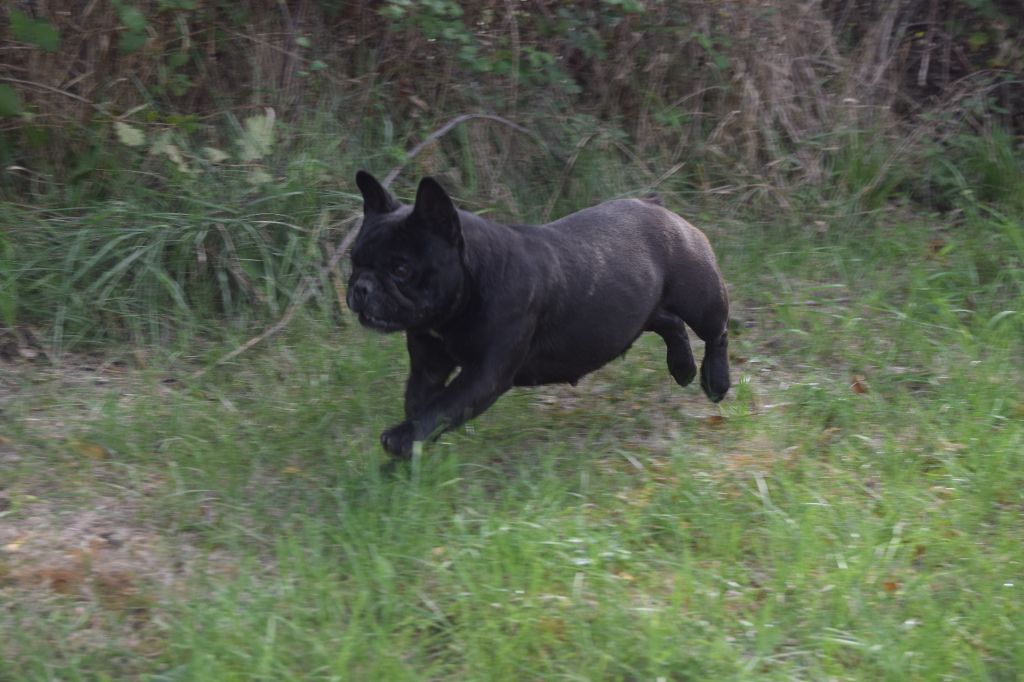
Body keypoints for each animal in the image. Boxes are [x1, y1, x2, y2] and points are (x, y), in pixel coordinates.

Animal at [347, 171, 730, 458]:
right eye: (354, 259)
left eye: (400, 269)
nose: (360, 286)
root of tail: (655, 204)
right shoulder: (428, 367)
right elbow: (422, 404)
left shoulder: (485, 375)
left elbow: (442, 406)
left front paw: (401, 439)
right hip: (636, 310)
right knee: (669, 322)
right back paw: (682, 368)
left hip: (699, 295)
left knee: (716, 332)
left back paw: (716, 380)